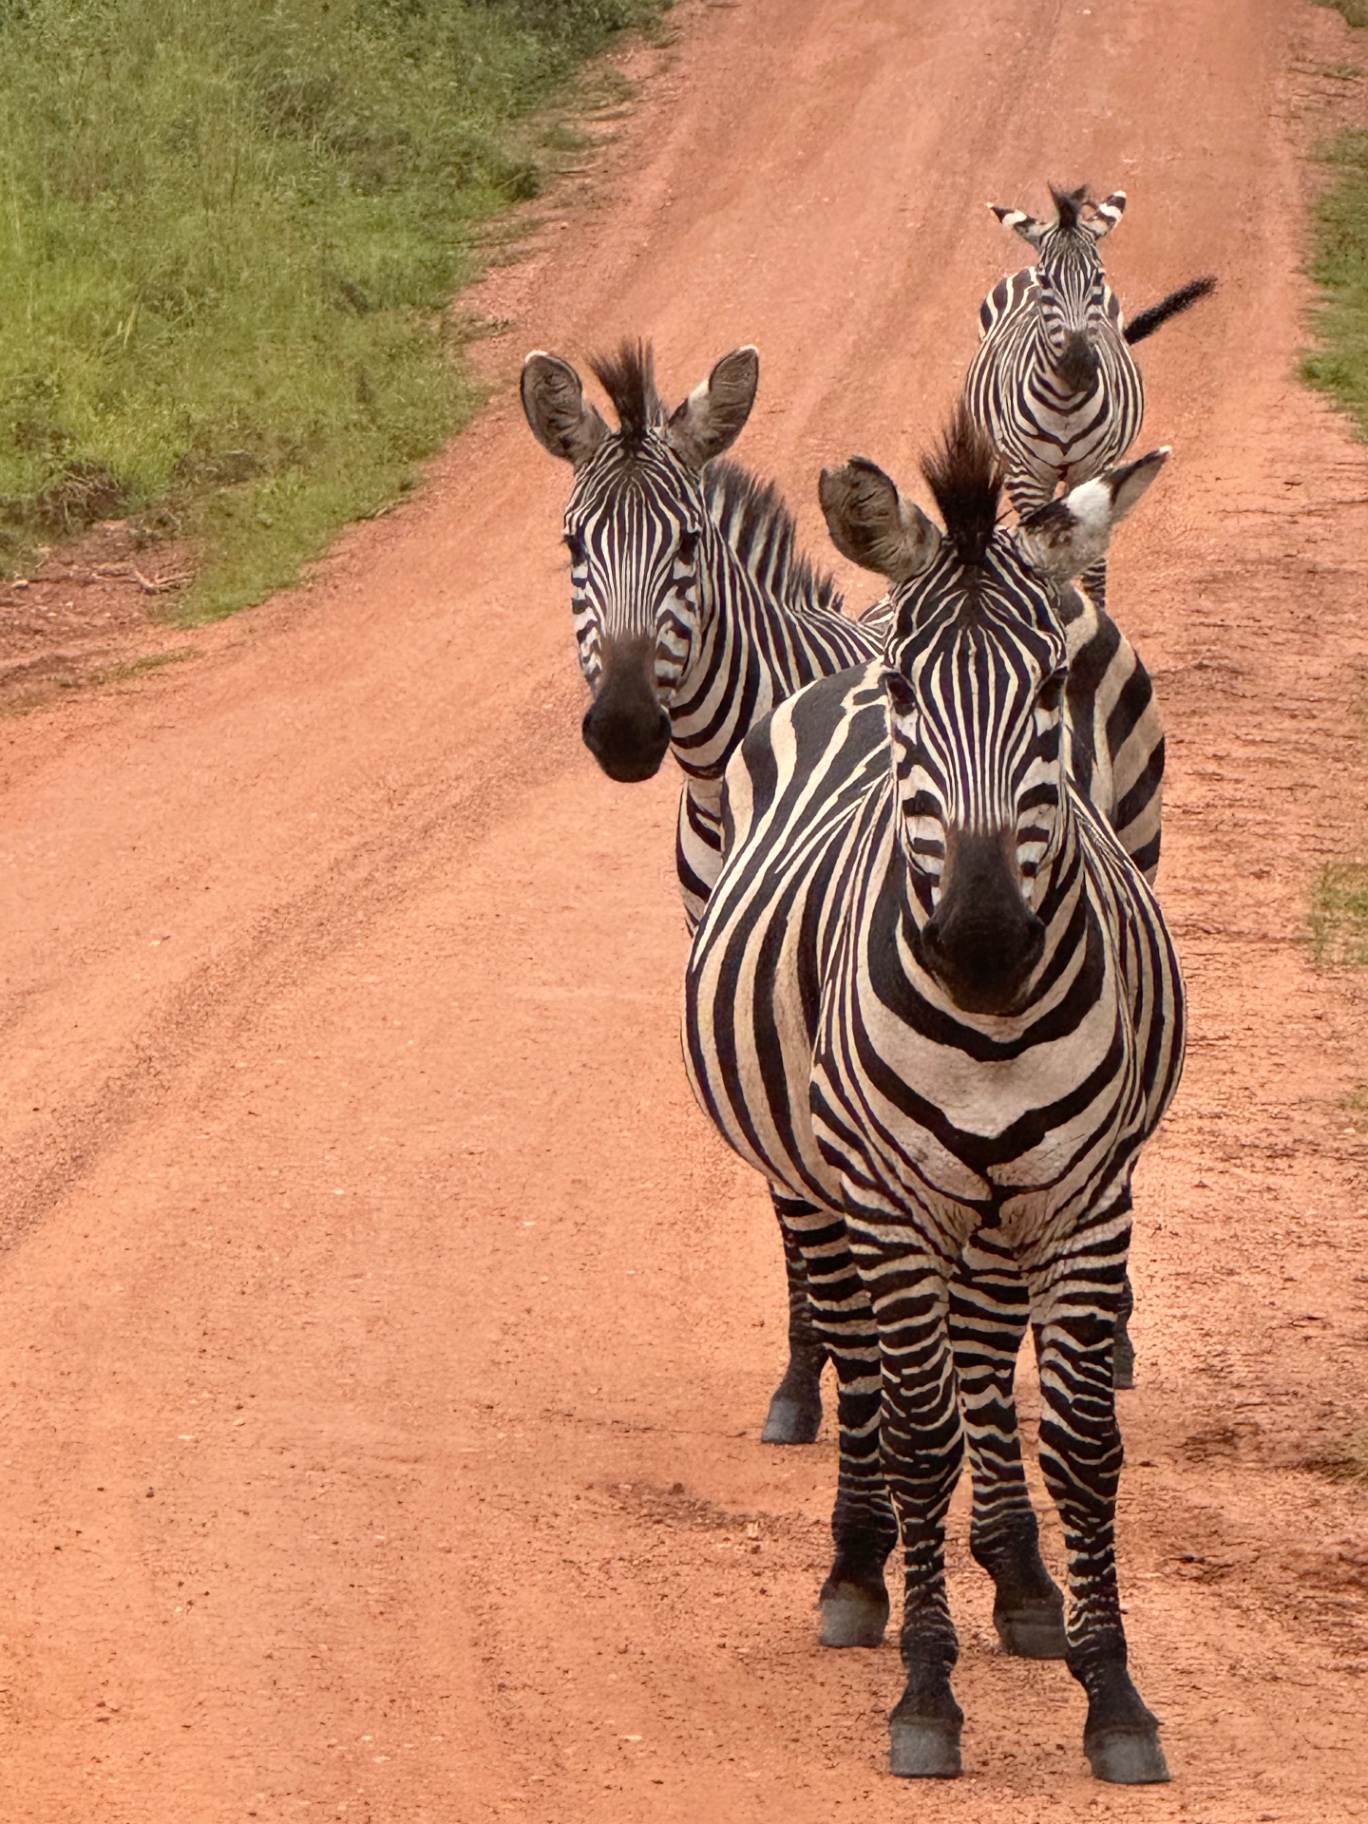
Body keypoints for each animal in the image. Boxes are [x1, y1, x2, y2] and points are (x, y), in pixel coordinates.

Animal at [684, 409, 1184, 1784]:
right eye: (916, 697)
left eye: (1052, 690)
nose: (981, 937)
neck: (993, 1022)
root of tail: (844, 649)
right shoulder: (892, 1205)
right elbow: (916, 1434)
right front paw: (926, 1691)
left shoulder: (1085, 1201)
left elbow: (1080, 1443)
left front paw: (1111, 1696)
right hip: (823, 1186)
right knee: (864, 1365)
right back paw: (862, 1571)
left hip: (996, 1210)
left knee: (980, 1368)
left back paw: (1016, 1578)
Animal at [965, 183, 1213, 609]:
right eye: (1047, 282)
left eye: (1098, 277)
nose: (1079, 364)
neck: (1065, 405)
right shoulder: (1027, 476)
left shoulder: (1093, 470)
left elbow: (1094, 569)